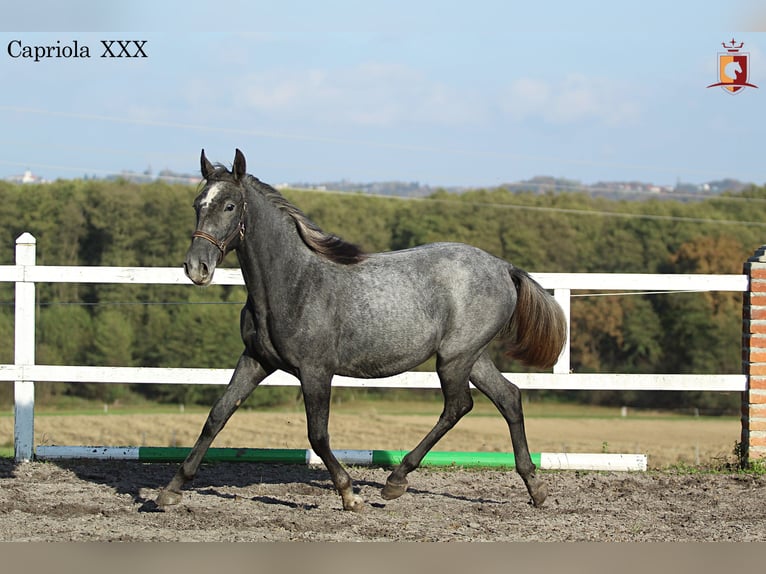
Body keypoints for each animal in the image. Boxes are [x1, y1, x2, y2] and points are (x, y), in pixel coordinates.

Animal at [156, 150, 568, 512]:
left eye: (229, 206)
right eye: (197, 204)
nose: (197, 268)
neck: (292, 283)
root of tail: (503, 267)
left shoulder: (316, 371)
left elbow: (317, 435)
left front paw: (350, 496)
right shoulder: (256, 360)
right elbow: (217, 415)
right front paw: (170, 491)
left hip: (455, 358)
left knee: (458, 406)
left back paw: (396, 480)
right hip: (472, 356)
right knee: (509, 398)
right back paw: (535, 488)